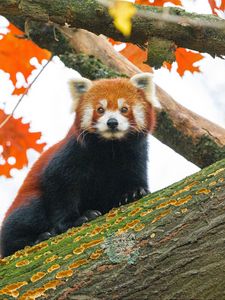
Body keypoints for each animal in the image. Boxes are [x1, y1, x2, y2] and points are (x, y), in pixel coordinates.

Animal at [0, 74, 158, 256]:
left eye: (124, 109)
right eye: (100, 109)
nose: (112, 122)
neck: (110, 148)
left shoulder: (136, 153)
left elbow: (135, 174)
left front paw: (133, 192)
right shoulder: (72, 153)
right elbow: (60, 187)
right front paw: (76, 219)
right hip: (25, 204)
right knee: (26, 215)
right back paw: (36, 238)